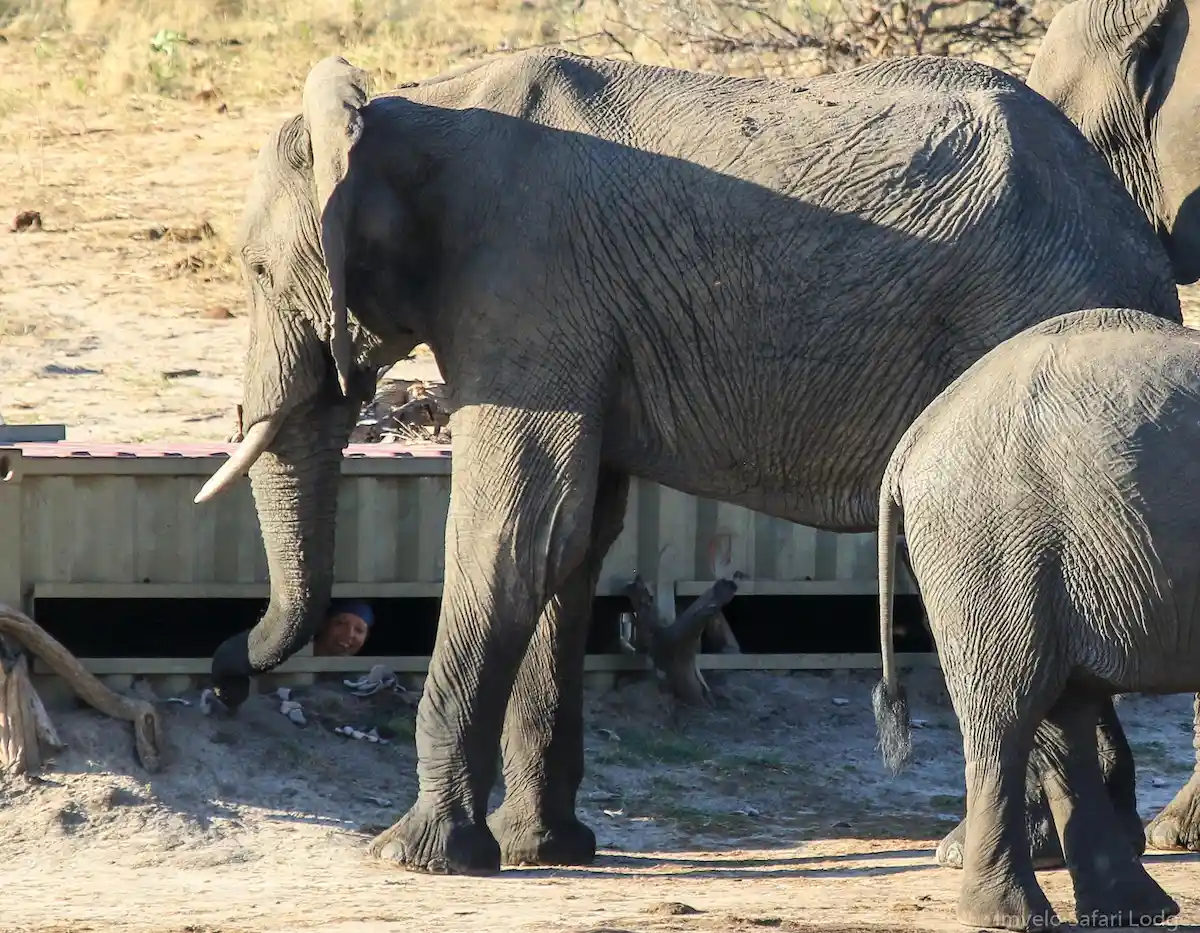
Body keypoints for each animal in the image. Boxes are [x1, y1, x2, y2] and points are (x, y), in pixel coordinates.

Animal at [196, 50, 1180, 877]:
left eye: (257, 271)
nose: (223, 678)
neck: (406, 109)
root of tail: (1145, 251)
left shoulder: (527, 291)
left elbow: (516, 537)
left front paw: (416, 856)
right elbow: (576, 545)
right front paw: (542, 850)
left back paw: (1007, 851)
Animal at [873, 303, 1200, 921]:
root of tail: (912, 440)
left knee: (1064, 714)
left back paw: (1130, 909)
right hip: (995, 545)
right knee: (1010, 711)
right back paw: (1012, 916)